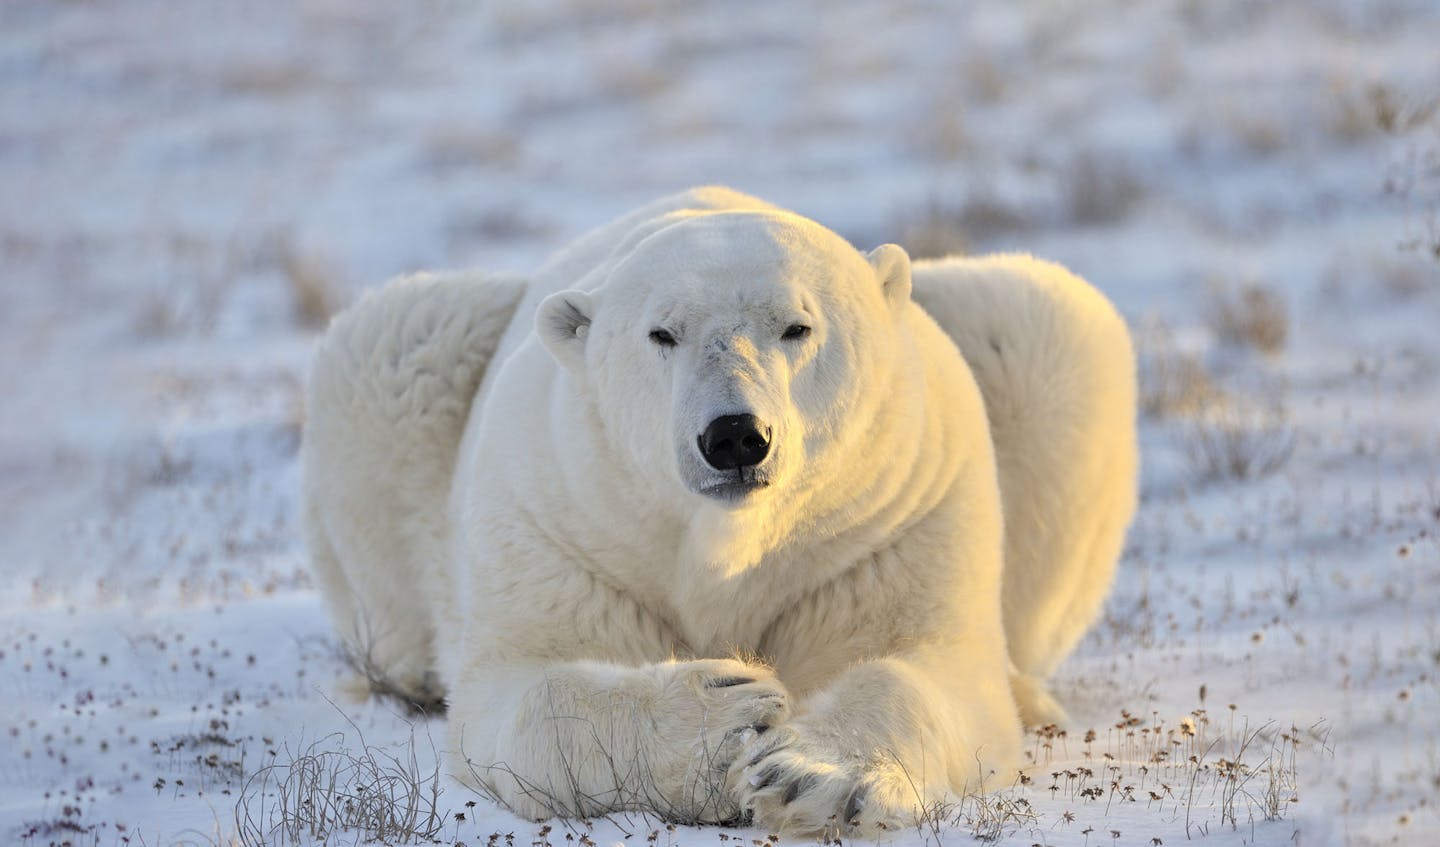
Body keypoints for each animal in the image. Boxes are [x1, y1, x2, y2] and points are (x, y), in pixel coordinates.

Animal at [301, 186, 1137, 836]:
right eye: (661, 332)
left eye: (798, 325)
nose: (735, 435)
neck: (730, 546)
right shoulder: (560, 520)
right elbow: (522, 686)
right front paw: (729, 716)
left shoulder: (895, 519)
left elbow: (926, 664)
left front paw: (810, 776)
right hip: (413, 370)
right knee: (393, 342)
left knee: (1043, 320)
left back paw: (1032, 693)